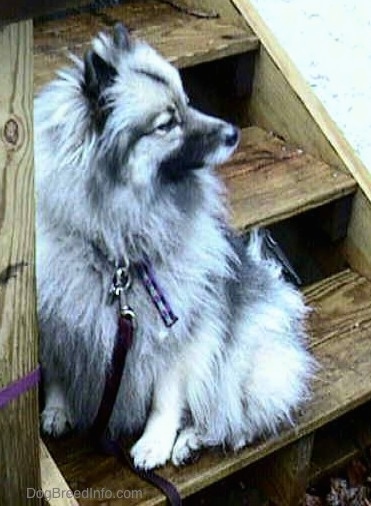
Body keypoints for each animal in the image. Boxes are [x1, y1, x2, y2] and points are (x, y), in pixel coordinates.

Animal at [35, 22, 316, 470]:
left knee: (230, 415)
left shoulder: (180, 335)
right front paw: (57, 410)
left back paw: (193, 439)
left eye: (188, 102)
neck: (118, 257)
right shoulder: (57, 321)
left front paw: (155, 442)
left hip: (243, 364)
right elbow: (60, 370)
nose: (233, 133)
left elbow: (166, 398)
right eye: (167, 124)